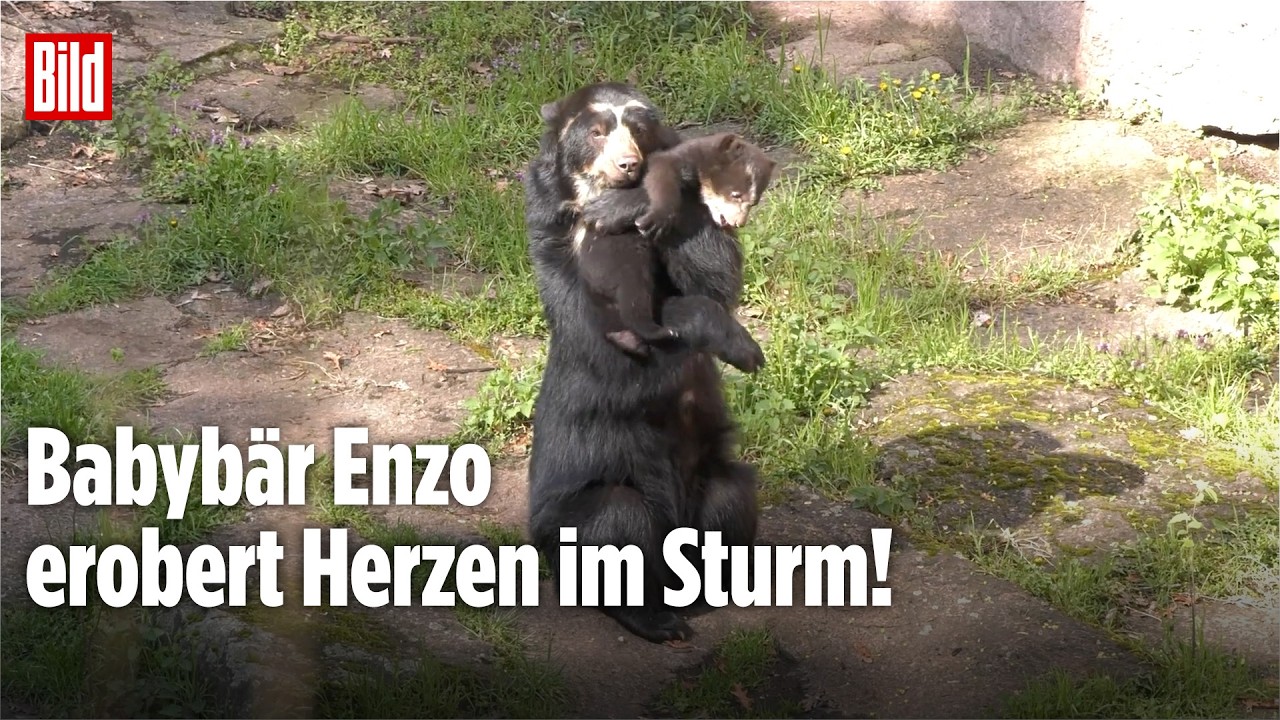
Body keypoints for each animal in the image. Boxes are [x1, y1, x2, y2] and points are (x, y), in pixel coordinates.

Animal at [575, 131, 776, 366]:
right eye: (735, 194)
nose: (738, 223)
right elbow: (662, 173)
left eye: (753, 203)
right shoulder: (680, 159)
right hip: (620, 261)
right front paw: (656, 216)